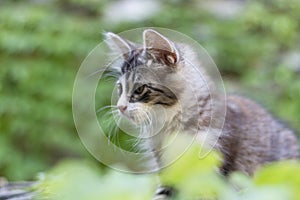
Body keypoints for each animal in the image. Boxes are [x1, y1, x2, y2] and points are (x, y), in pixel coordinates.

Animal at [104, 28, 298, 198]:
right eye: (120, 88)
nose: (120, 107)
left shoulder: (209, 172)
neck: (171, 127)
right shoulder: (168, 173)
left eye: (139, 89)